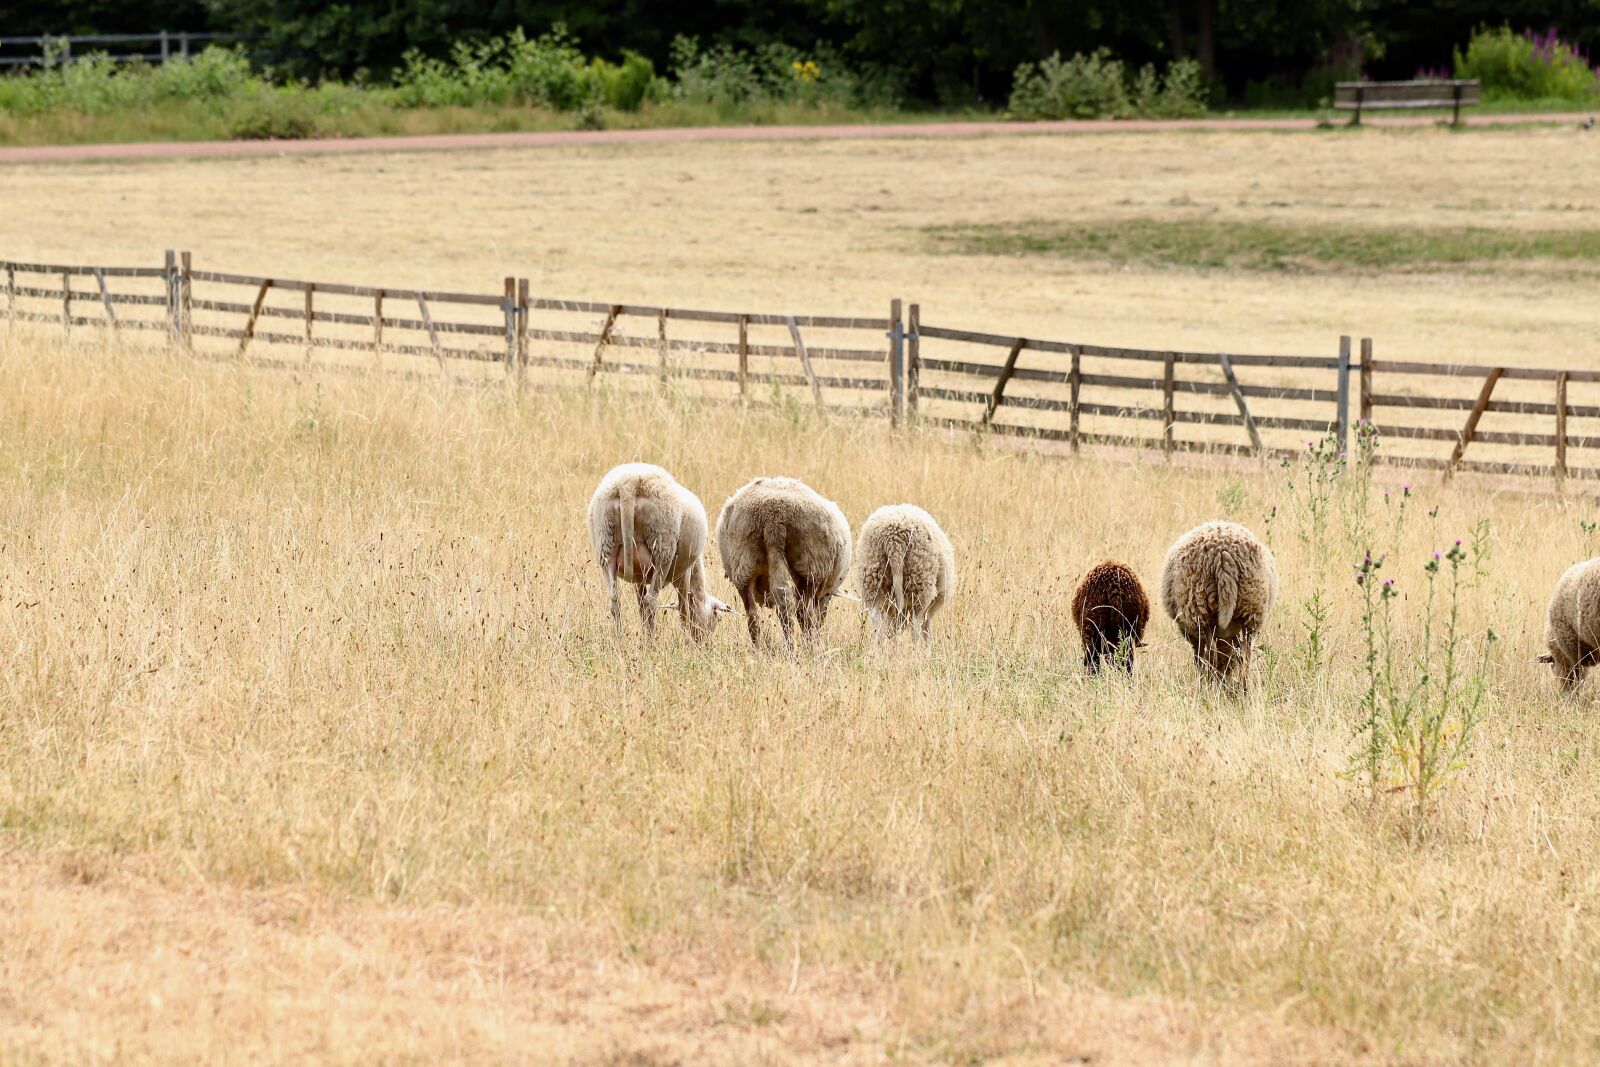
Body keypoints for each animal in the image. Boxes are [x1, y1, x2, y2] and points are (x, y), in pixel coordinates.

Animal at [587, 462, 730, 641]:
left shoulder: (639, 577)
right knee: (651, 601)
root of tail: (628, 484)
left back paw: (621, 641)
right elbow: (684, 609)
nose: (703, 643)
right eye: (716, 617)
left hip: (605, 544)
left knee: (615, 601)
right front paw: (686, 640)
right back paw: (651, 642)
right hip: (663, 547)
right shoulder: (684, 574)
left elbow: (640, 605)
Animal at [715, 476, 852, 649]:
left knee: (755, 614)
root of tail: (774, 517)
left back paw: (760, 649)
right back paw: (808, 648)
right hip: (812, 567)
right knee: (805, 612)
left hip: (744, 563)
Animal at [855, 504, 957, 642]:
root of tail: (893, 538)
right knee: (915, 626)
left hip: (872, 579)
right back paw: (916, 648)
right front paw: (929, 648)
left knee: (878, 626)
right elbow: (927, 629)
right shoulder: (929, 608)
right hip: (919, 583)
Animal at [1159, 520, 1278, 690]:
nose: (1225, 678)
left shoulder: (1192, 633)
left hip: (1201, 609)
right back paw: (1243, 690)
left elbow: (1199, 656)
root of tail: (1224, 555)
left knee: (1212, 653)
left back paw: (1210, 686)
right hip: (1251, 610)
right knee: (1245, 656)